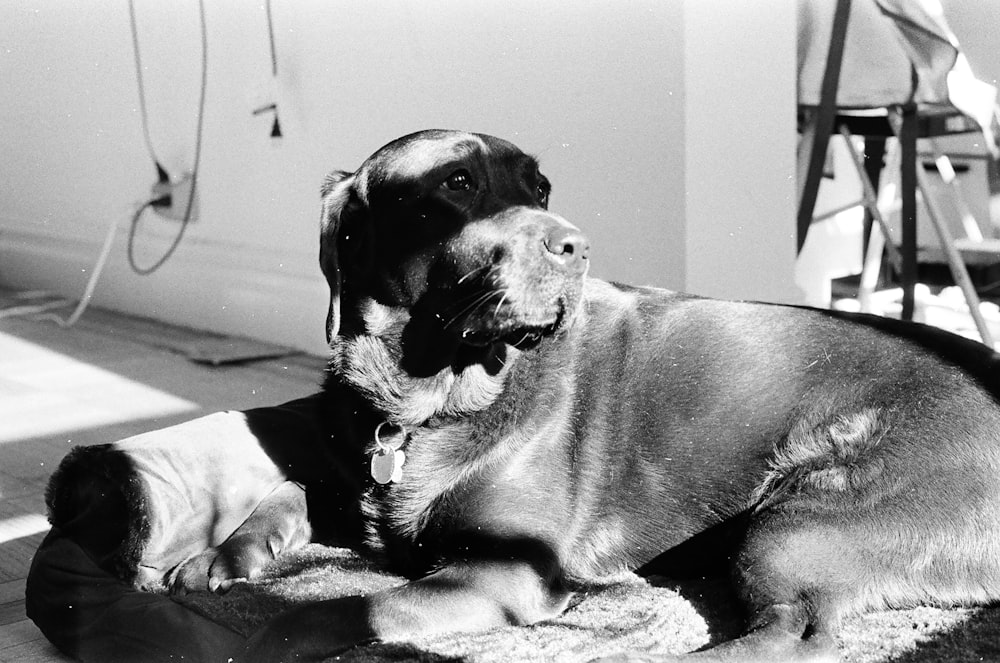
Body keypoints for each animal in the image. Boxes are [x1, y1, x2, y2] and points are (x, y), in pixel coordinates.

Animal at [170, 131, 1000, 663]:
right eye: (457, 184)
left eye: (539, 188)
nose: (575, 245)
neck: (427, 401)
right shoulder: (352, 463)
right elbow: (291, 484)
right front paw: (222, 554)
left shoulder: (509, 569)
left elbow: (340, 607)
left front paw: (251, 633)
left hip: (799, 514)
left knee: (801, 634)